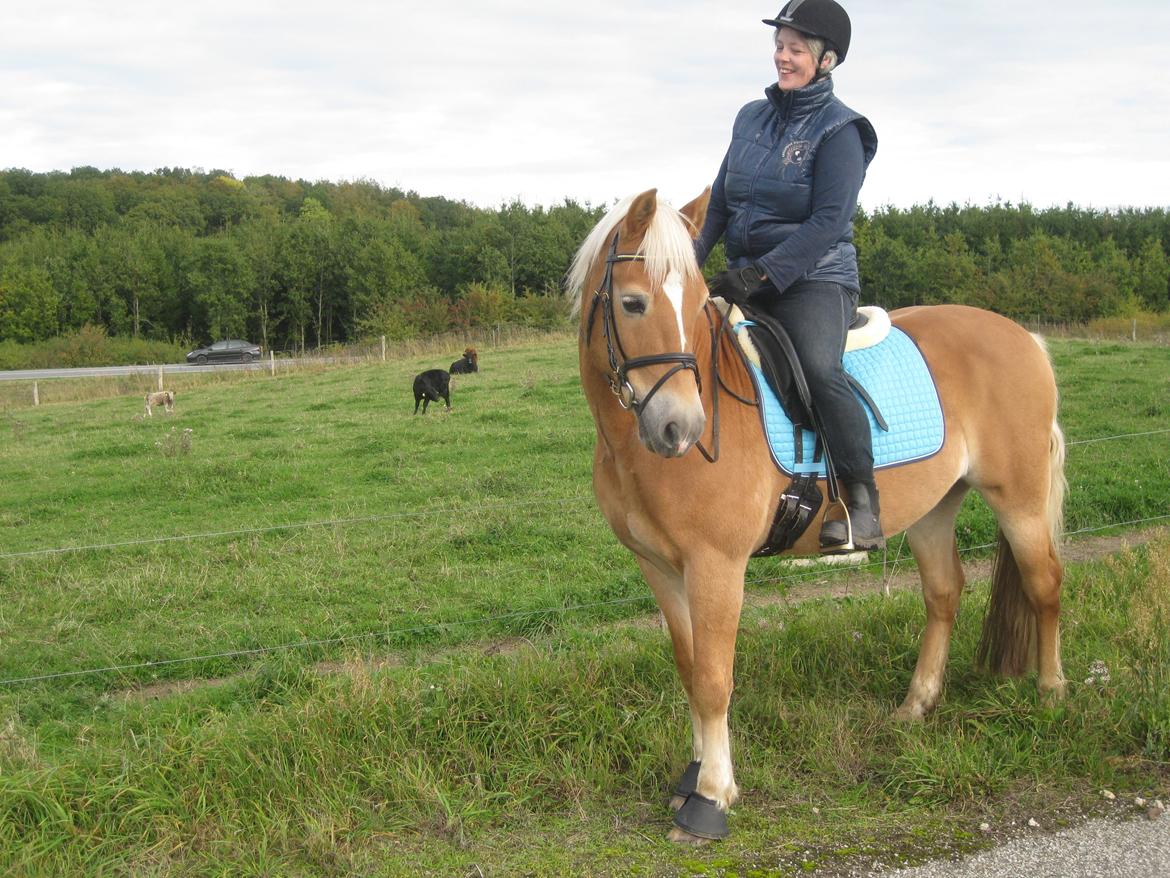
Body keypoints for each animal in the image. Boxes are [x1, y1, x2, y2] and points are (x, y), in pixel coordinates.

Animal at [566, 190, 1071, 847]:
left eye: (698, 304)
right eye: (633, 302)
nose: (682, 429)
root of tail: (1024, 338)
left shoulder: (716, 566)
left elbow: (714, 677)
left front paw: (711, 798)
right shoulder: (659, 567)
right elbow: (689, 667)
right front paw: (695, 774)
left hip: (1020, 499)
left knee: (1044, 585)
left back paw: (1052, 693)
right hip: (936, 508)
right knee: (944, 593)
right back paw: (917, 704)